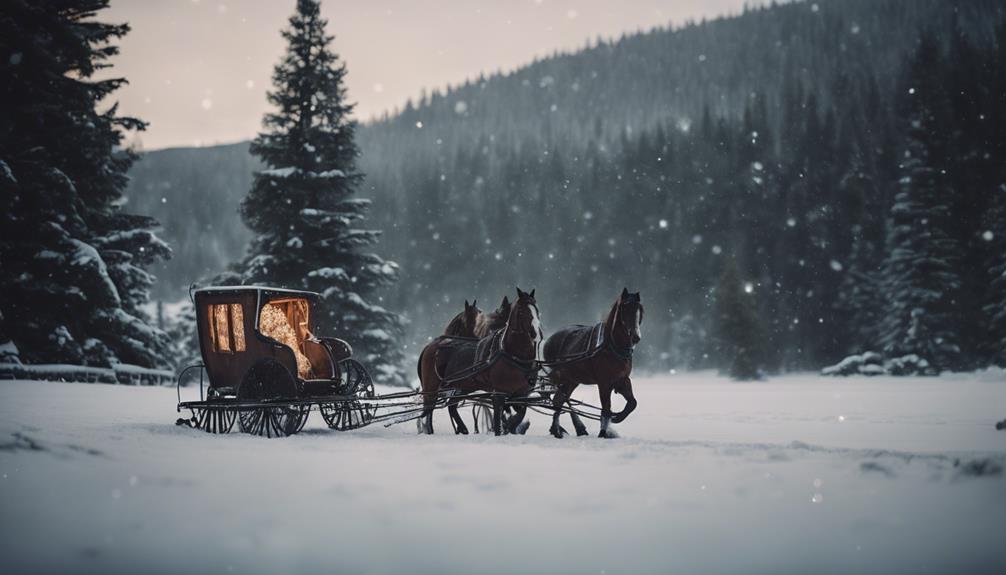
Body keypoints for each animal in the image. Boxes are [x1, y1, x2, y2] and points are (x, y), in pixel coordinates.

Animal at [416, 289, 543, 434]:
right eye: (522, 311)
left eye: (536, 309)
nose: (537, 333)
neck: (513, 355)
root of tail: (430, 345)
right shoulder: (498, 393)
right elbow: (498, 418)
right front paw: (502, 428)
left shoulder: (521, 394)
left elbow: (519, 413)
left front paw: (511, 425)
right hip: (431, 387)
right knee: (429, 410)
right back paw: (430, 431)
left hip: (461, 387)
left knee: (450, 406)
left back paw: (463, 428)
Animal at [547, 287, 639, 436]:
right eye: (624, 308)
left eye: (639, 309)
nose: (636, 337)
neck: (611, 346)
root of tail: (549, 341)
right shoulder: (604, 383)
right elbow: (606, 410)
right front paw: (603, 433)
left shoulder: (622, 379)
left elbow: (632, 403)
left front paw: (617, 417)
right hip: (563, 377)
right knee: (559, 399)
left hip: (571, 379)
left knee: (559, 400)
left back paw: (558, 430)